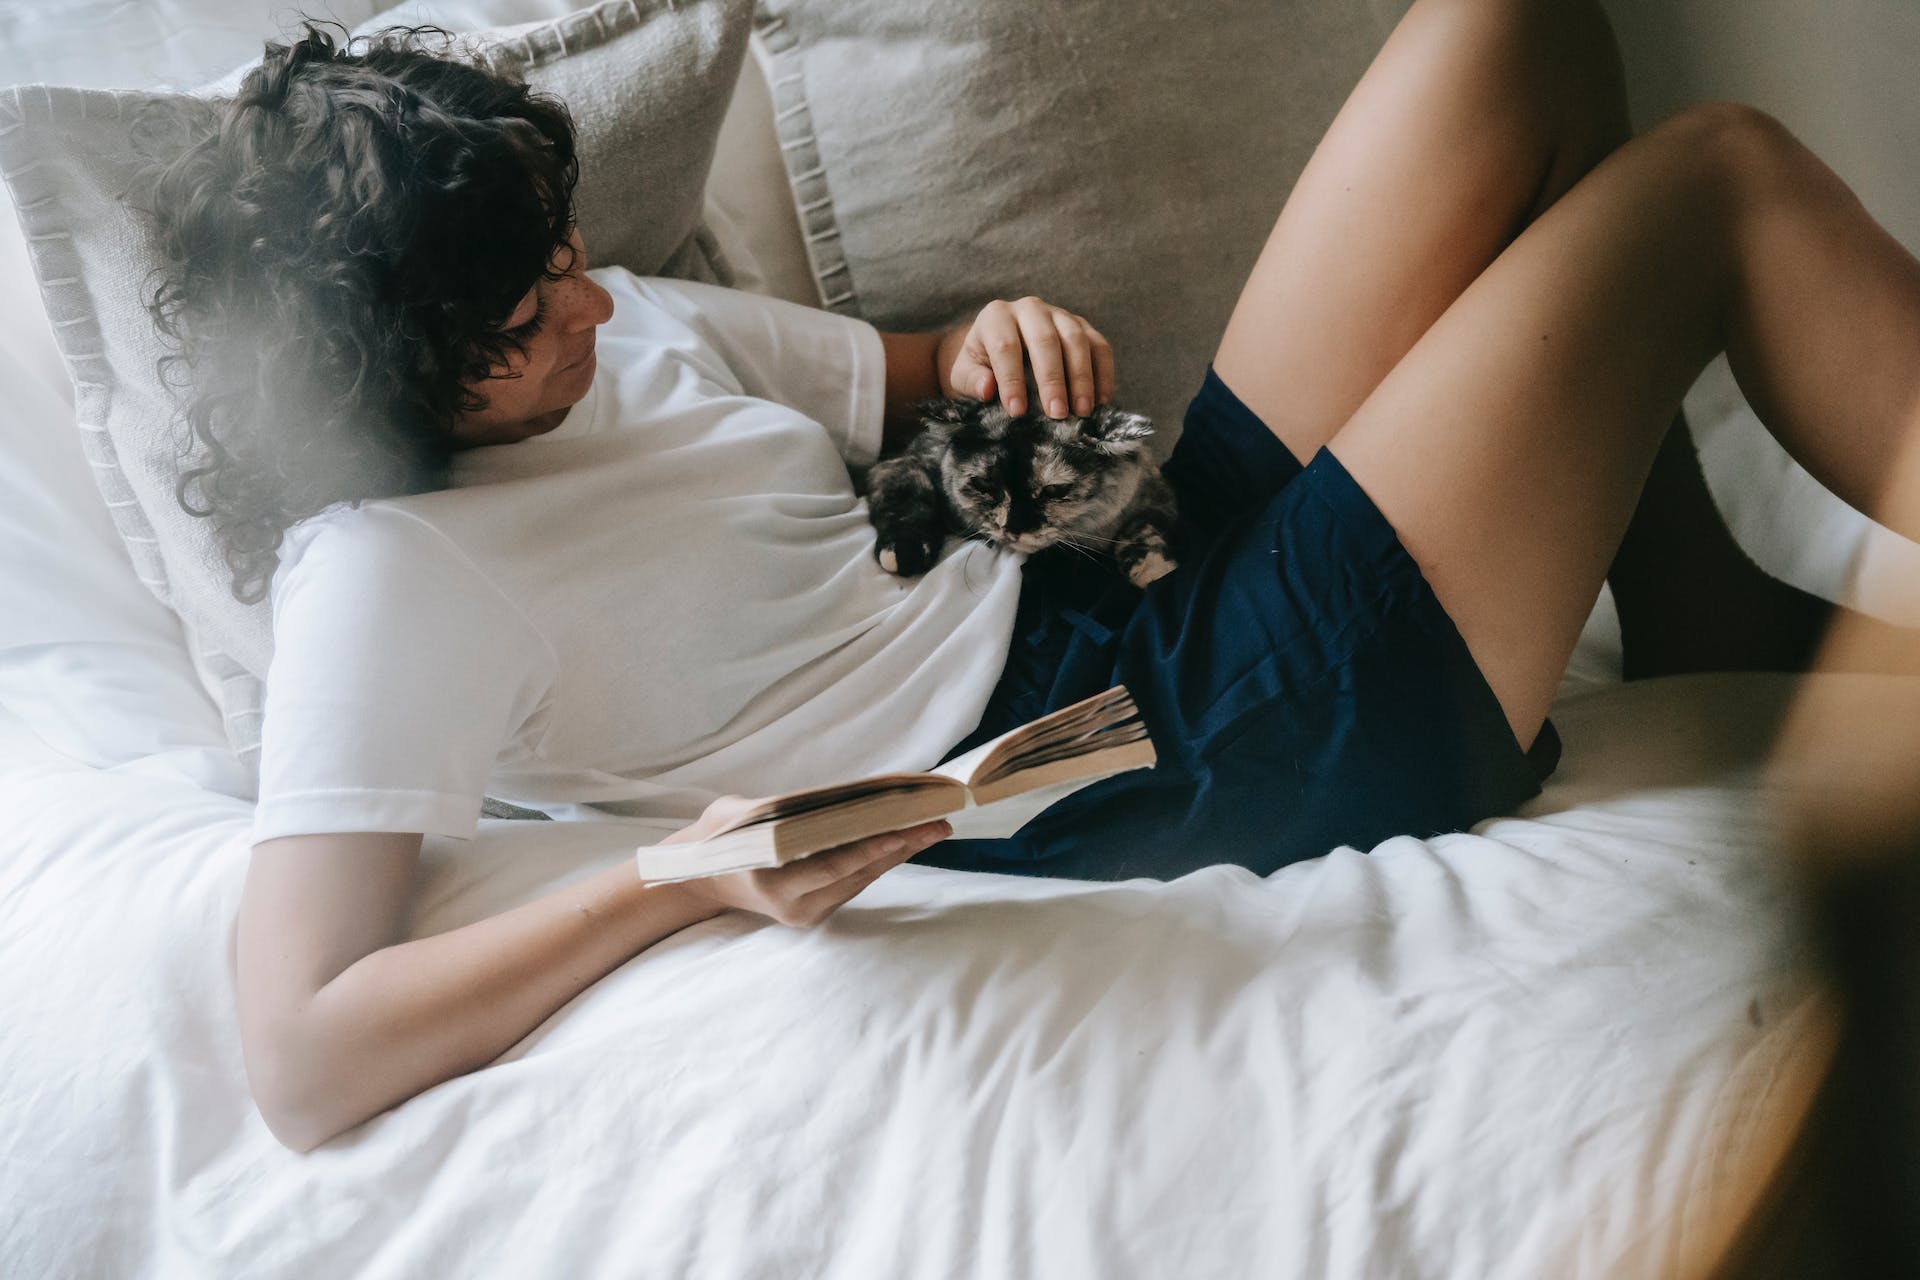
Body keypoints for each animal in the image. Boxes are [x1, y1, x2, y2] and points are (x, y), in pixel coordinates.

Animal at [864, 397, 1175, 587]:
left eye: (1054, 489)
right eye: (983, 485)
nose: (1013, 528)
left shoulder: (1154, 489)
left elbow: (1147, 525)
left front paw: (1153, 569)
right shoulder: (901, 462)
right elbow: (906, 495)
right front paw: (903, 551)